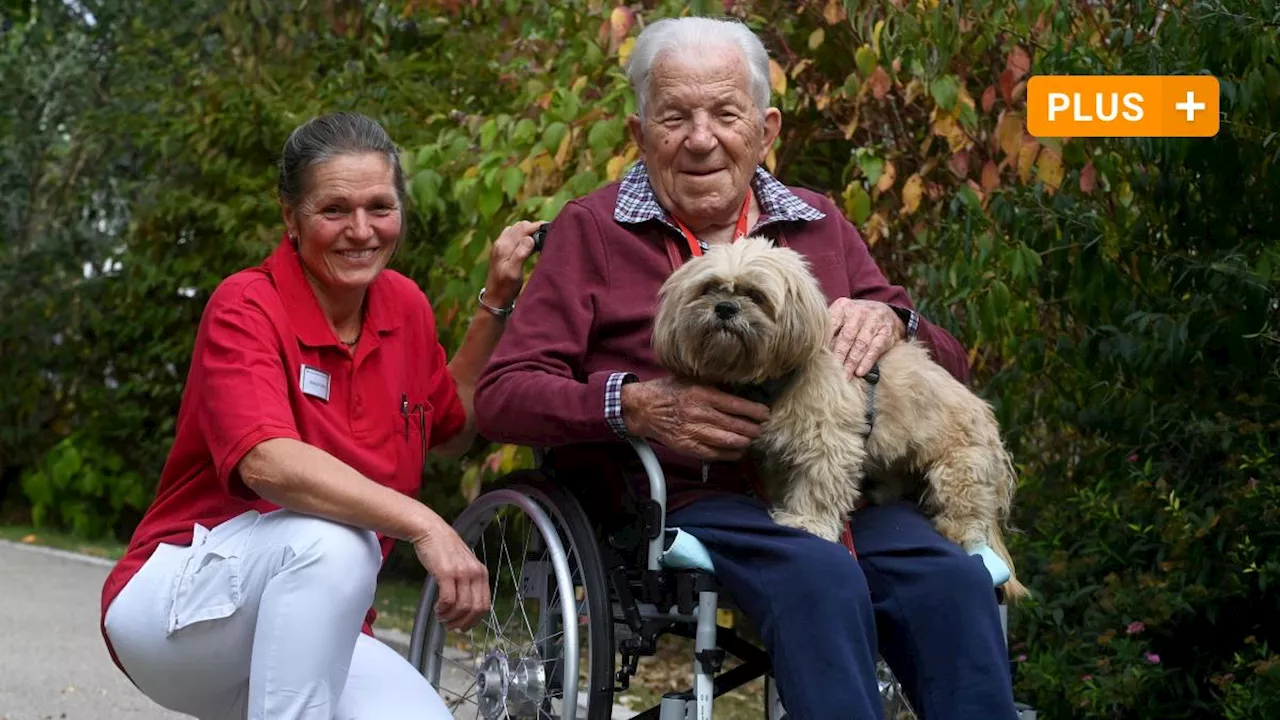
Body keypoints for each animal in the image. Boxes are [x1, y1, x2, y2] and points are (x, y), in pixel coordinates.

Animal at [655, 235, 1024, 594]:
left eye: (755, 295)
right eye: (709, 288)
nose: (724, 308)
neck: (779, 376)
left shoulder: (827, 443)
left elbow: (818, 485)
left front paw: (805, 521)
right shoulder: (781, 452)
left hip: (959, 469)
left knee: (968, 512)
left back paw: (953, 528)